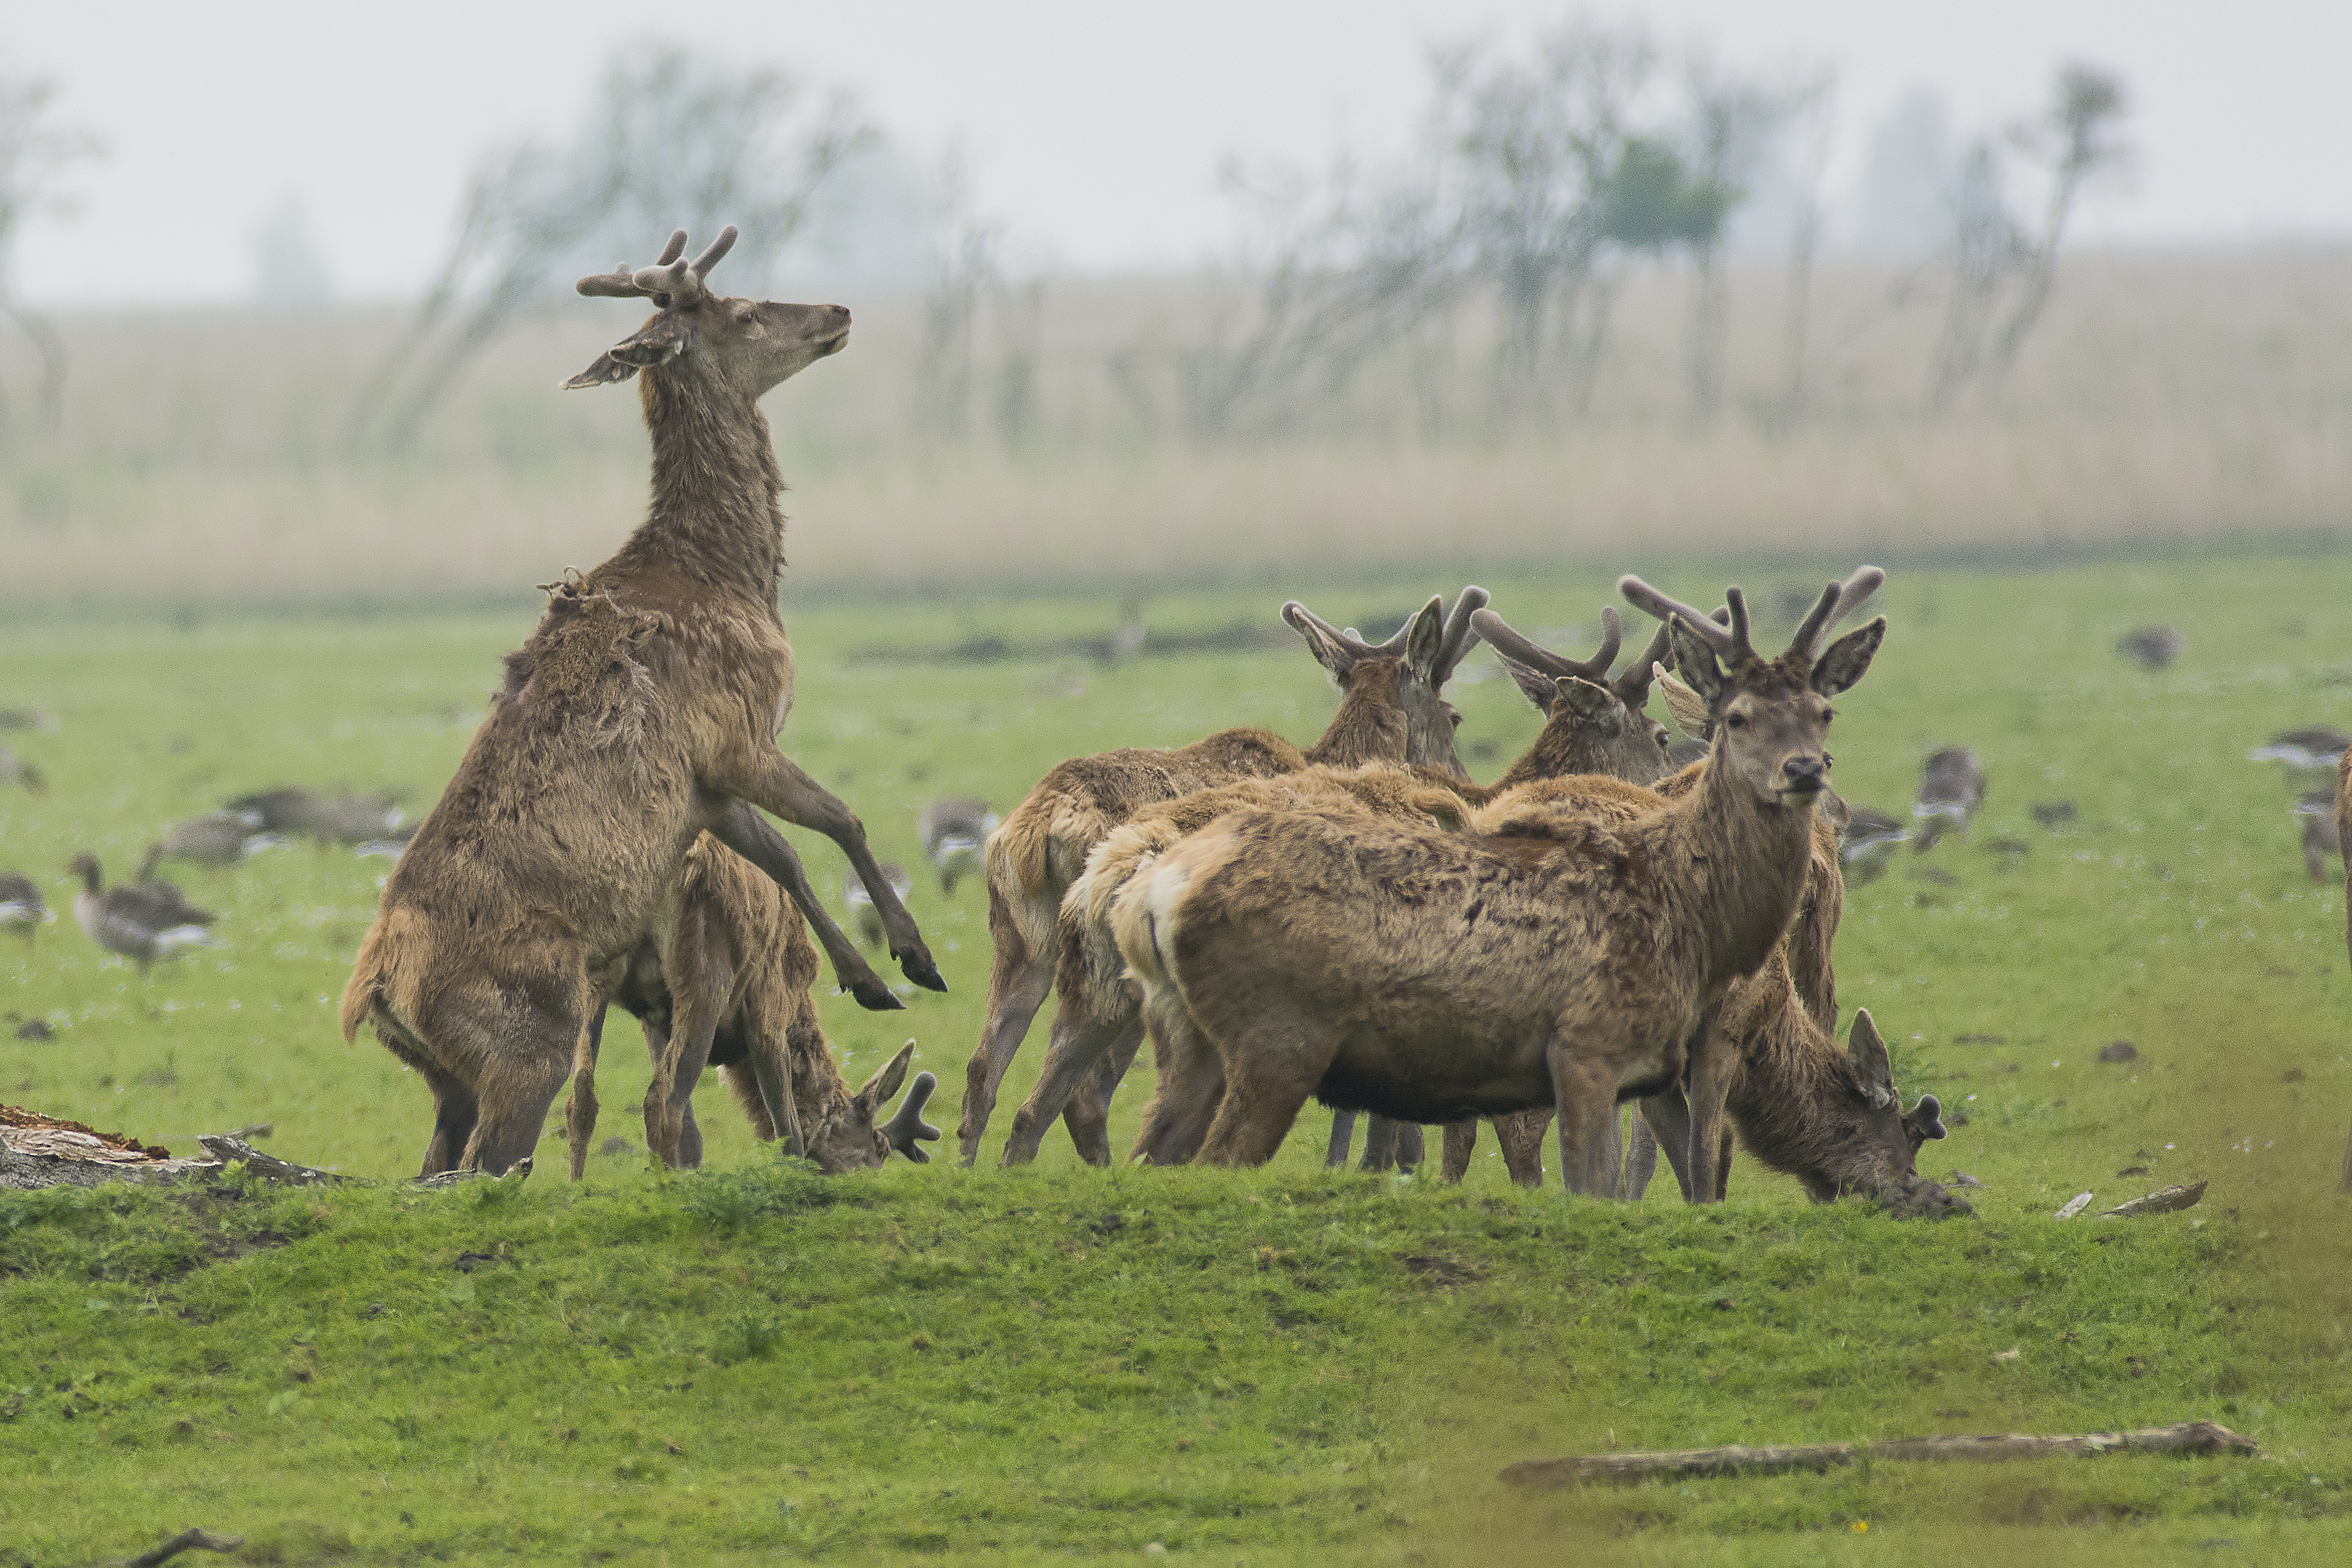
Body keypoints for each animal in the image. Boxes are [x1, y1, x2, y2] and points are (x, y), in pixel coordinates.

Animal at [343, 227, 941, 1171]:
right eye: (744, 310)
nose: (839, 309)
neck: (733, 577)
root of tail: (375, 993)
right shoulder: (739, 730)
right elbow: (839, 819)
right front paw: (908, 961)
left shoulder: (704, 786)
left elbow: (784, 855)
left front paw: (869, 974)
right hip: (527, 1044)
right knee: (490, 1160)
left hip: (443, 1078)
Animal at [945, 588, 1477, 1165]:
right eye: (1454, 715)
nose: (1463, 785)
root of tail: (1038, 827)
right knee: (1088, 1095)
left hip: (1025, 943)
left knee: (985, 1068)